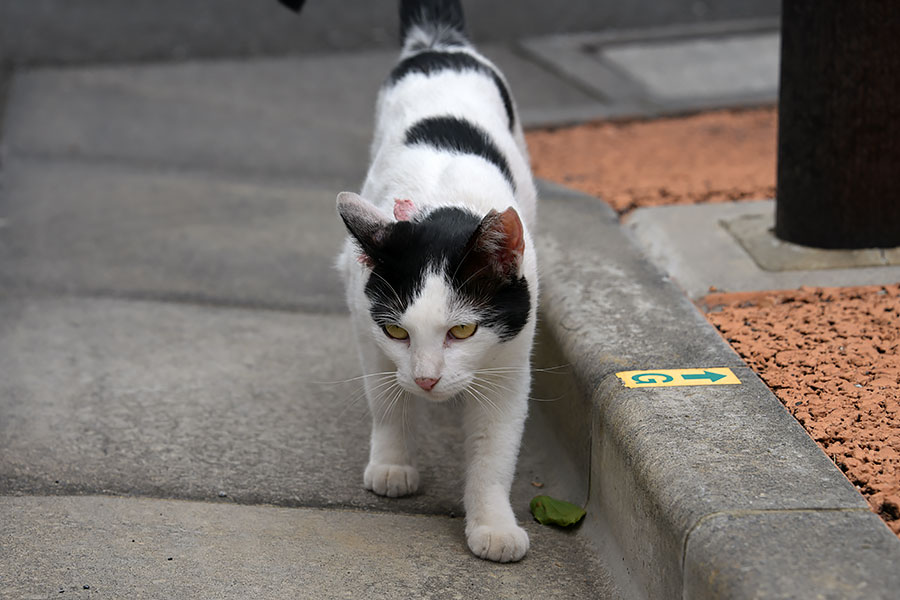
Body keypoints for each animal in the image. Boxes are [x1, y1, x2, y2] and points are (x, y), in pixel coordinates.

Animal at [336, 0, 536, 564]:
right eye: (398, 332)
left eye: (463, 331)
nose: (426, 380)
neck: (443, 206)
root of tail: (439, 45)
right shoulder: (364, 323)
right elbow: (386, 400)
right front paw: (392, 464)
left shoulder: (511, 362)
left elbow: (495, 451)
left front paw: (493, 525)